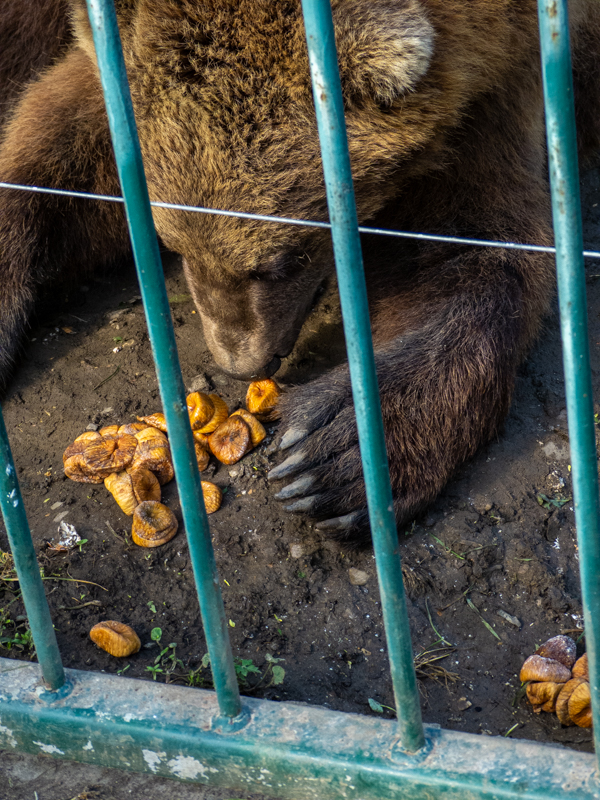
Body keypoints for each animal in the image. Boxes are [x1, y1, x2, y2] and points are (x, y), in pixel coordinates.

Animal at [1, 0, 600, 543]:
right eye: (173, 243)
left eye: (284, 259)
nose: (240, 362)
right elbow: (63, 143)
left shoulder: (498, 82)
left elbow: (467, 248)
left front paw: (334, 453)